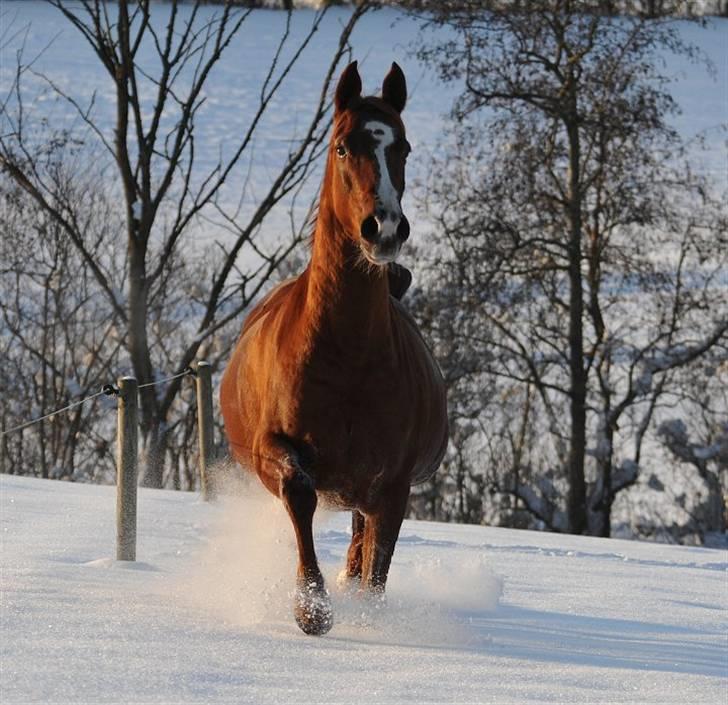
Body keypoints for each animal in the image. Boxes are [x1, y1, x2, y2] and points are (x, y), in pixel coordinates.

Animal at [220, 59, 450, 632]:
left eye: (403, 147)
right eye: (343, 147)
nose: (384, 228)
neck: (347, 356)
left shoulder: (392, 485)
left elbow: (377, 563)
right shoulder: (274, 450)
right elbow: (299, 493)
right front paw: (311, 607)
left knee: (361, 539)